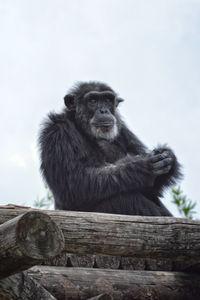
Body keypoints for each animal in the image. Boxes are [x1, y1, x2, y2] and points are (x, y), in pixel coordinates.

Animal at [38, 81, 182, 214]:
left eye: (107, 100)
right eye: (93, 100)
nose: (103, 110)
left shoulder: (124, 130)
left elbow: (151, 189)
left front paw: (168, 156)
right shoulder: (57, 132)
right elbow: (74, 182)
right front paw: (142, 164)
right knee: (122, 199)